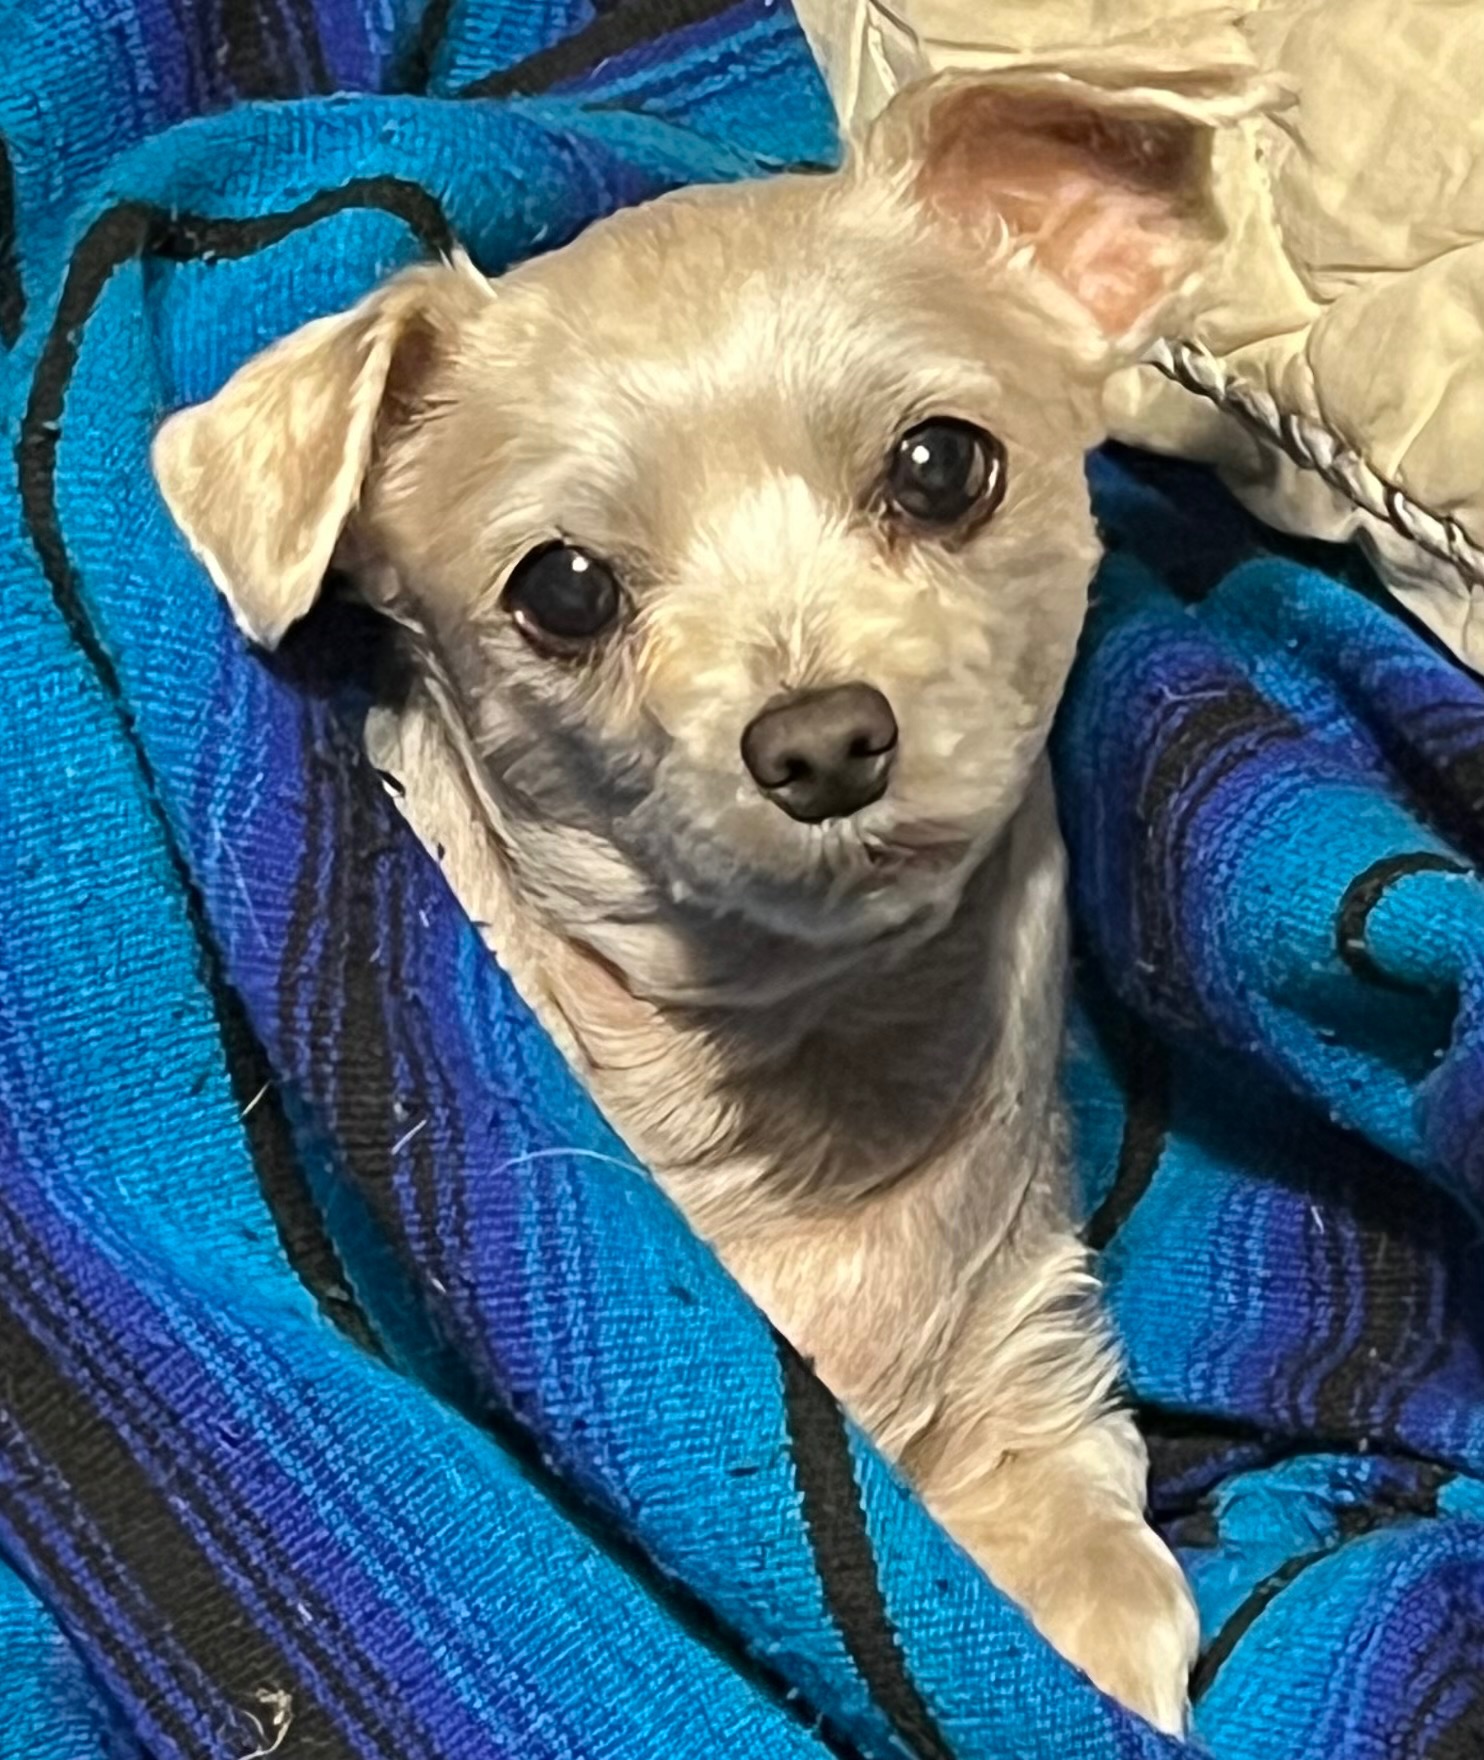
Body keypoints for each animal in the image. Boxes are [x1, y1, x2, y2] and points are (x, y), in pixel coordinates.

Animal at [153, 70, 1240, 1731]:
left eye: (942, 466)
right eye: (563, 589)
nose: (821, 743)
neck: (802, 1067)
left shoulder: (1026, 1360)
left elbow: (1102, 1578)